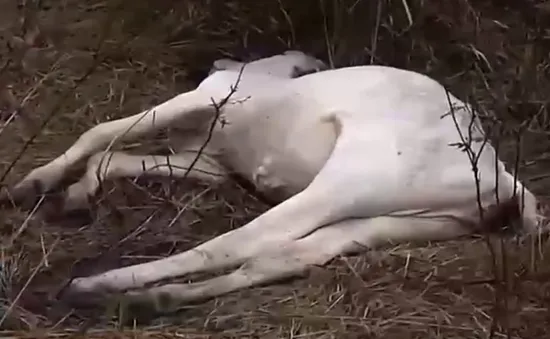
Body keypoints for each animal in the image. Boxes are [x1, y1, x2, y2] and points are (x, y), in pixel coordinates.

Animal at [0, 51, 544, 314]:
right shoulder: (211, 163)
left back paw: (96, 285)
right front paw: (74, 193)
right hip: (404, 221)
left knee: (241, 241)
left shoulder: (206, 99)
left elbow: (102, 132)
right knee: (287, 255)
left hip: (347, 182)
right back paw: (151, 300)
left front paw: (33, 182)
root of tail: (502, 176)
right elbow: (118, 157)